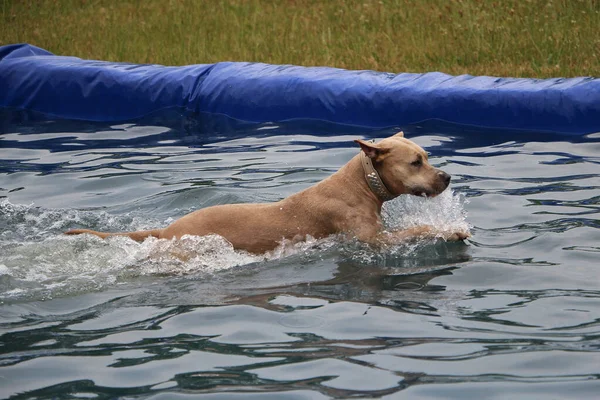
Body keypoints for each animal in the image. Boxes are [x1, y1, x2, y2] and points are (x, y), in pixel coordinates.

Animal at [65, 133, 468, 255]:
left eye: (427, 156)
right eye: (416, 161)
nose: (447, 177)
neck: (359, 184)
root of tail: (166, 230)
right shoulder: (371, 240)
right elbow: (415, 231)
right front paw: (450, 231)